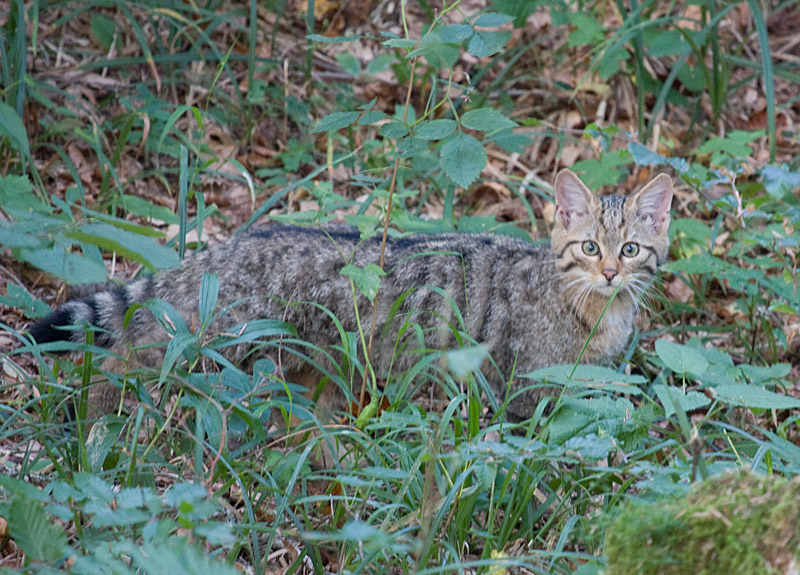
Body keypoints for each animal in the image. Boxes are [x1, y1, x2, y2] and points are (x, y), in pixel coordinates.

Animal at [28, 169, 672, 420]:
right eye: (588, 247)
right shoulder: (523, 388)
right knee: (134, 362)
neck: (597, 311)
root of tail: (231, 244)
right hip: (223, 353)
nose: (610, 273)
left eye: (630, 250)